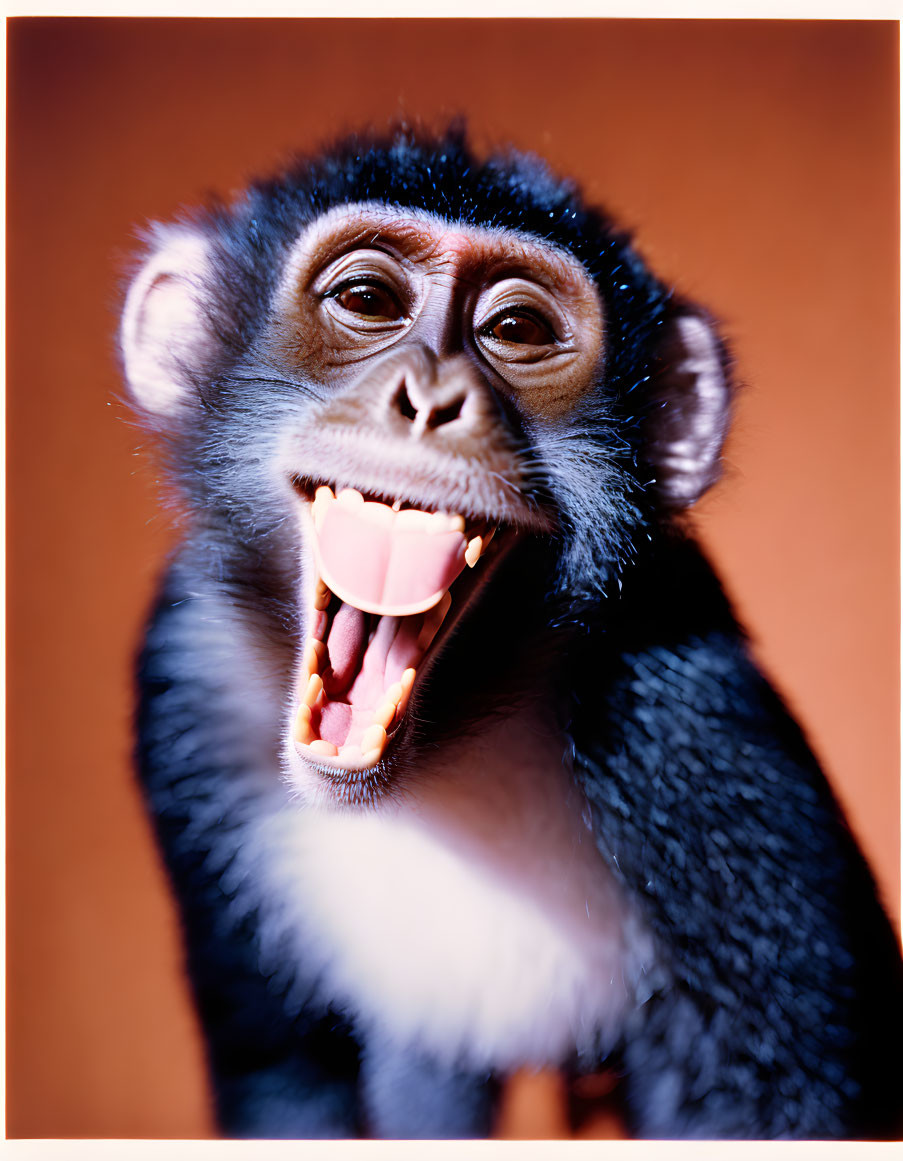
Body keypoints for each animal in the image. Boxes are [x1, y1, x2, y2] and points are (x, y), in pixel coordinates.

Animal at [119, 127, 900, 1142]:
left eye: (516, 330)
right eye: (366, 301)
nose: (428, 398)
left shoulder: (684, 722)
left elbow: (773, 1096)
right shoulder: (185, 669)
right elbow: (278, 1071)